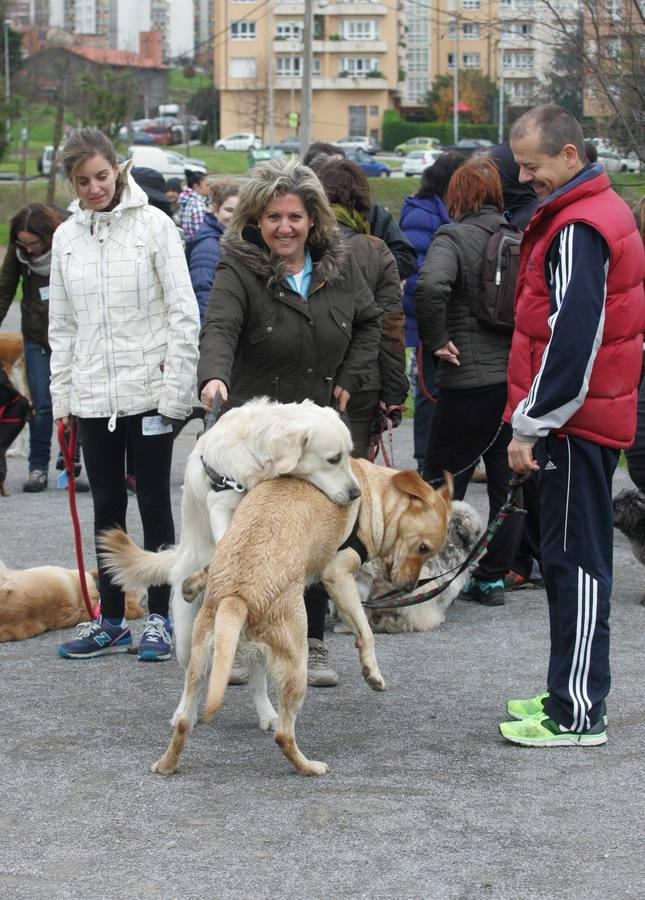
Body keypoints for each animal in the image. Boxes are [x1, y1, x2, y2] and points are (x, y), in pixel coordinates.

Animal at [102, 460, 452, 776]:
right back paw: (309, 767)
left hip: (205, 662)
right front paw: (372, 674)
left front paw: (191, 586)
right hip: (295, 662)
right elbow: (365, 631)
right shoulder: (338, 575)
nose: (409, 588)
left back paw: (166, 764)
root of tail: (237, 595)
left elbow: (203, 571)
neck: (370, 492)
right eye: (423, 548)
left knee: (188, 719)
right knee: (284, 734)